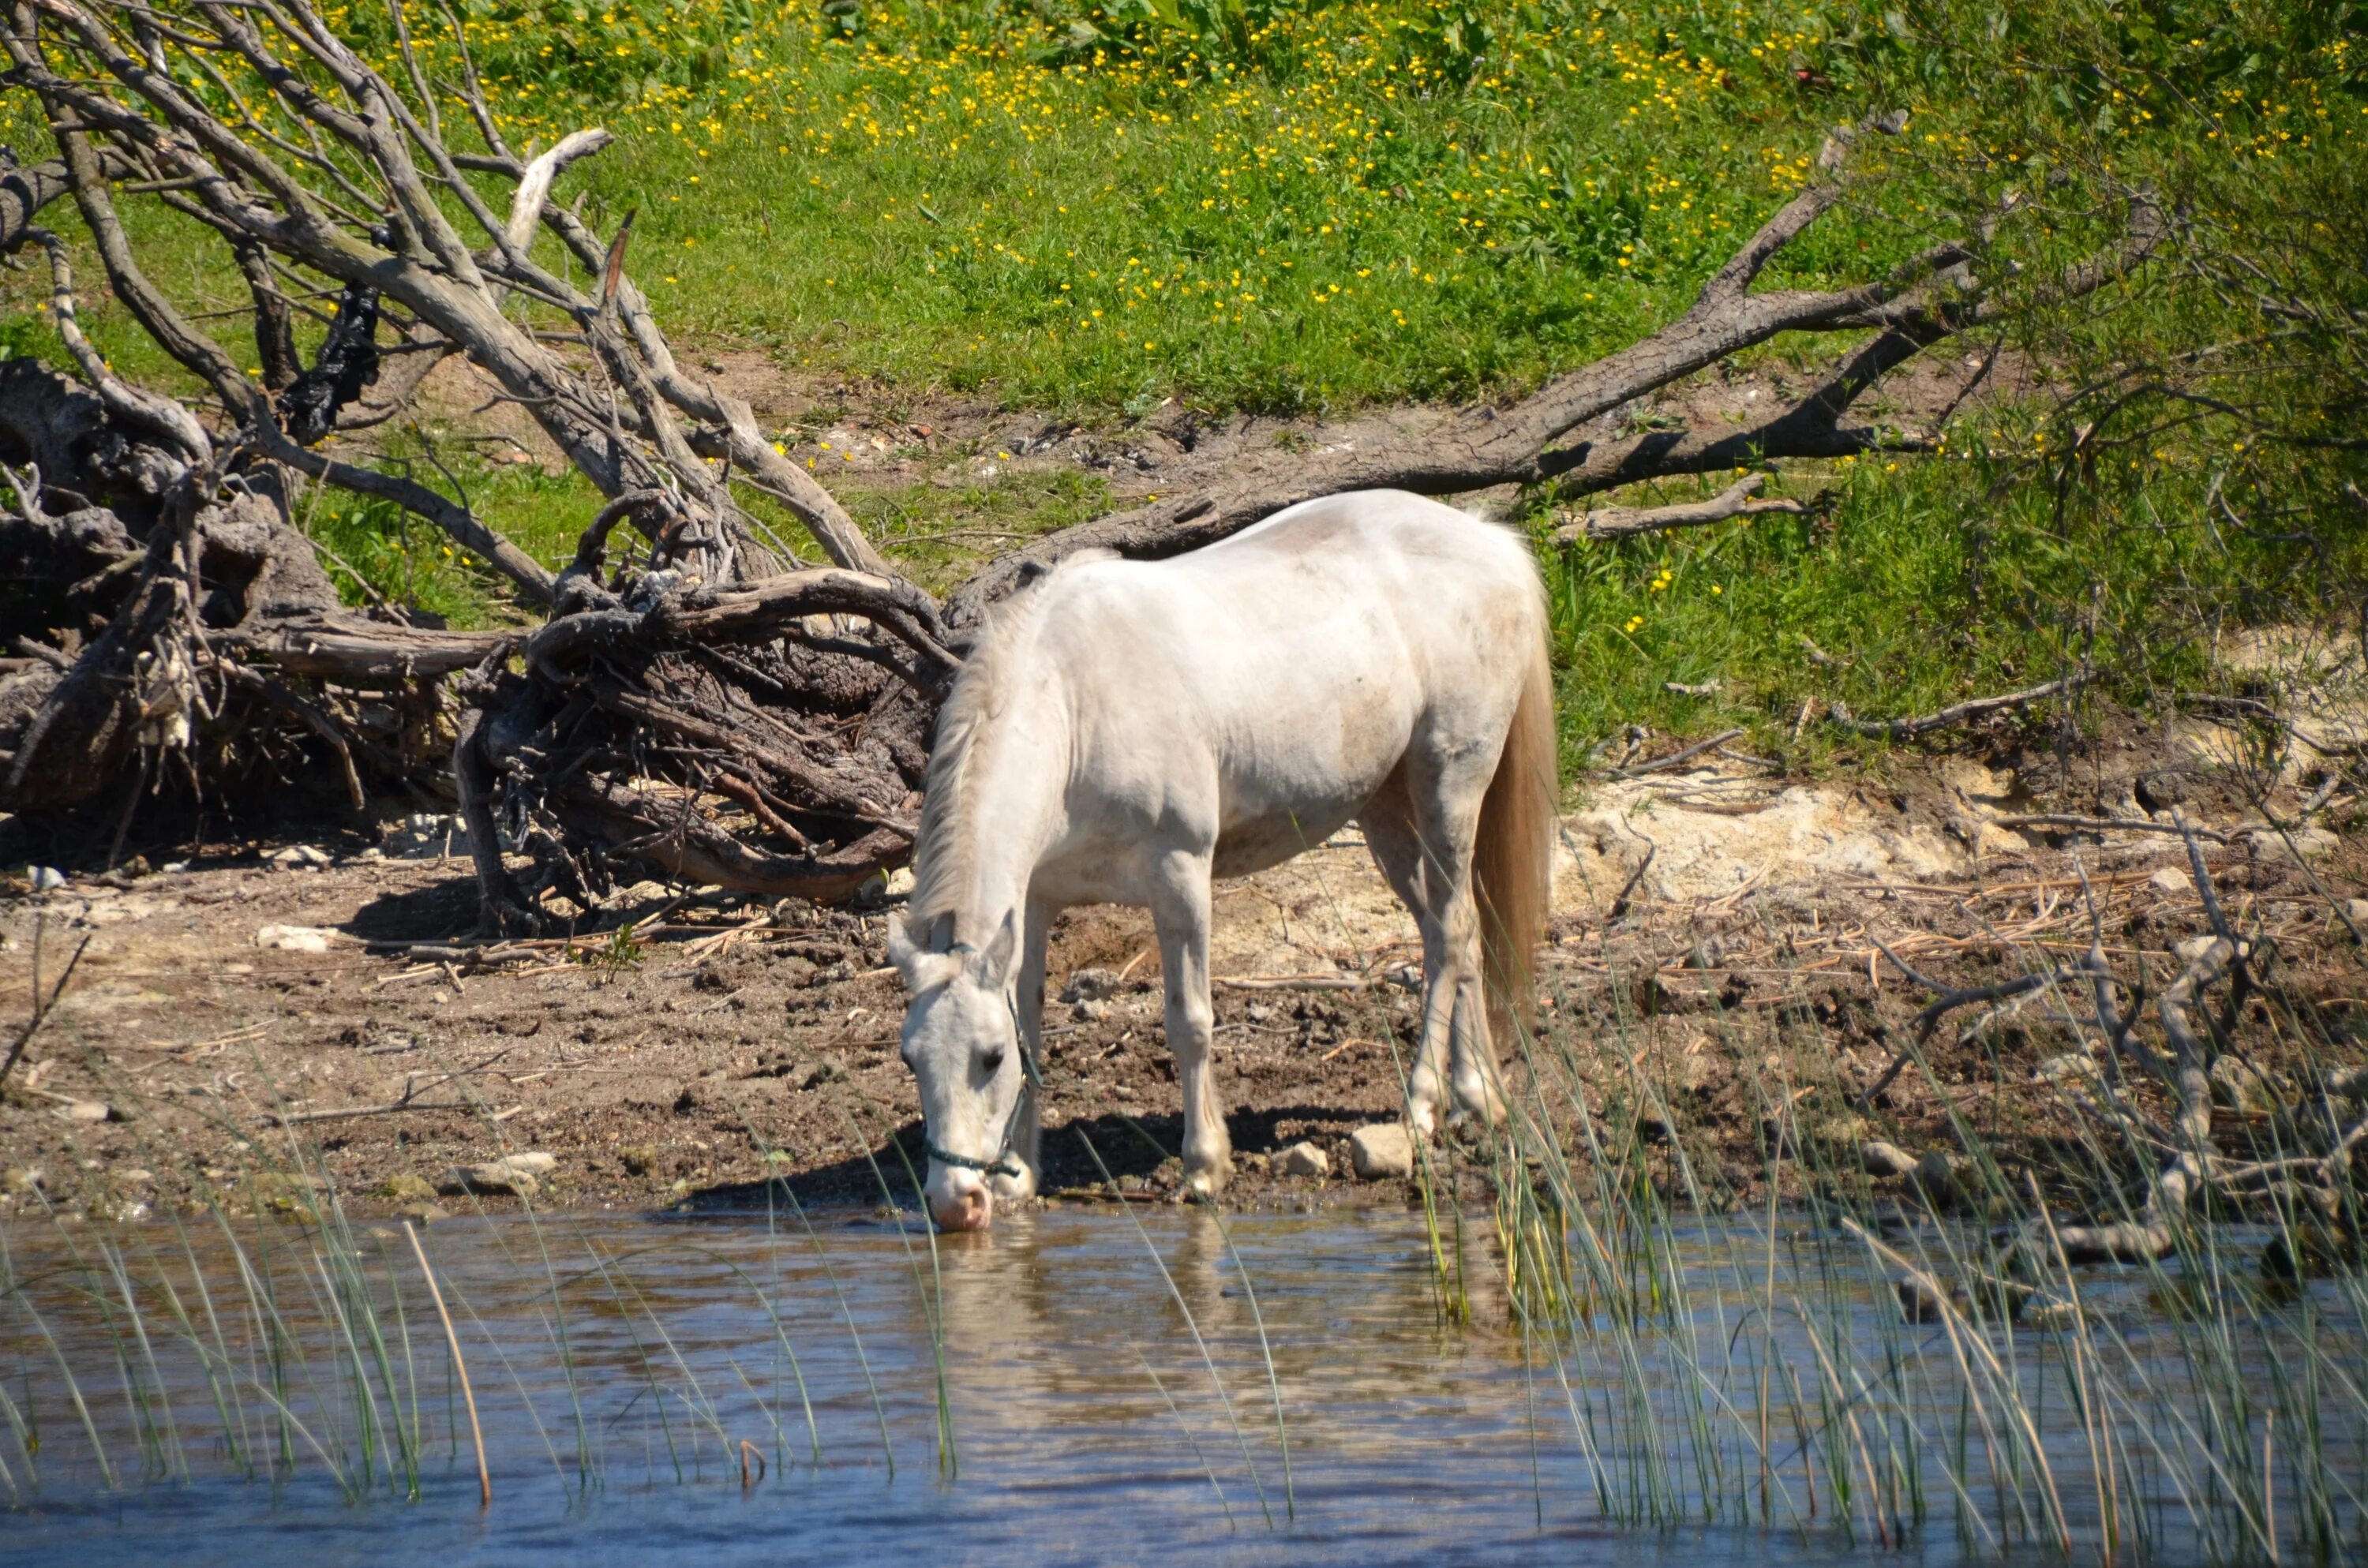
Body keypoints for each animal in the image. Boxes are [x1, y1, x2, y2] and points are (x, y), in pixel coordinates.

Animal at [890, 488, 1553, 1231]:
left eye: (989, 1056)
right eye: (911, 1059)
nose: (956, 1203)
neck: (1075, 702)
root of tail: (1489, 539)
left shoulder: (1180, 875)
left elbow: (1190, 1022)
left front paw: (1204, 1165)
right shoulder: (1034, 900)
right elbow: (1030, 1010)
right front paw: (1020, 1173)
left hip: (1449, 788)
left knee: (1452, 934)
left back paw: (1423, 1104)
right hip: (1385, 811)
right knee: (1456, 935)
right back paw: (1478, 1095)